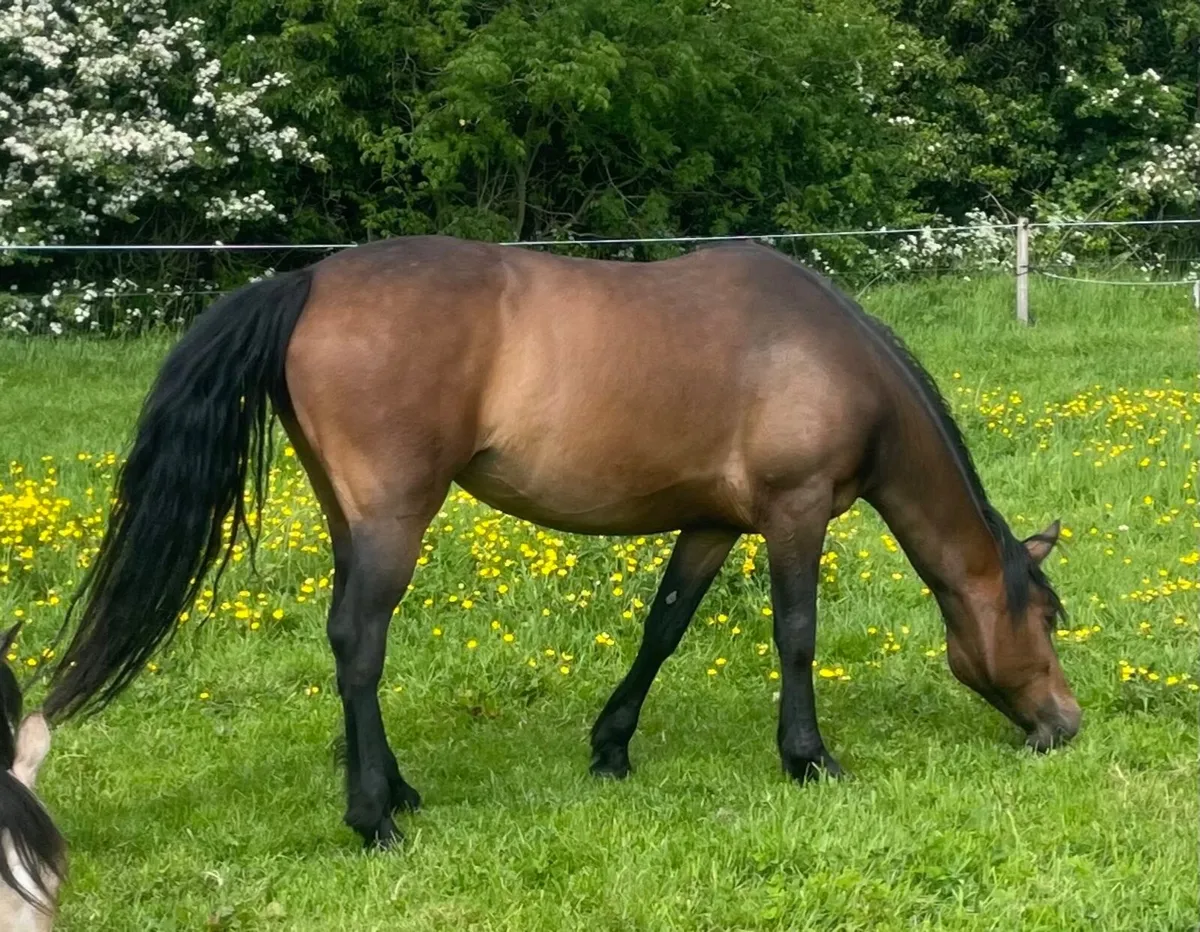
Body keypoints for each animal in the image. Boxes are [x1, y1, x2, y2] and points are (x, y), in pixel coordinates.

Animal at [43, 235, 1080, 849]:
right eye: (1049, 622)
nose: (1065, 726)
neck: (828, 355)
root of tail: (307, 280)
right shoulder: (795, 514)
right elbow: (795, 636)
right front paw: (809, 758)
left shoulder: (712, 522)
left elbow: (664, 628)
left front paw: (612, 747)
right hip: (393, 518)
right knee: (358, 644)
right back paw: (375, 818)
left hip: (349, 515)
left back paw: (397, 789)